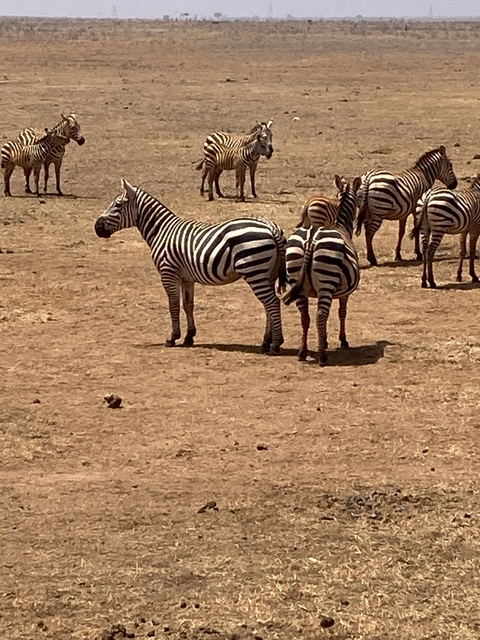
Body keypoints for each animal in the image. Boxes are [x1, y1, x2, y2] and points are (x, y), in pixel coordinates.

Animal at [94, 180, 287, 354]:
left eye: (117, 205)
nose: (96, 227)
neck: (161, 231)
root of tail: (271, 227)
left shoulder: (168, 272)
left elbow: (173, 305)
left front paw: (172, 337)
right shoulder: (186, 278)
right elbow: (188, 305)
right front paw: (189, 336)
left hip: (254, 270)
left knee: (272, 302)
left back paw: (276, 343)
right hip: (268, 274)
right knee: (268, 304)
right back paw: (266, 341)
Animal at [283, 177, 361, 366]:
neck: (341, 226)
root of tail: (311, 238)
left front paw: (324, 339)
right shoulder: (344, 293)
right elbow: (341, 313)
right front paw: (342, 340)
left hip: (297, 278)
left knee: (305, 317)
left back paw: (302, 352)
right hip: (327, 280)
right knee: (320, 314)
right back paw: (322, 356)